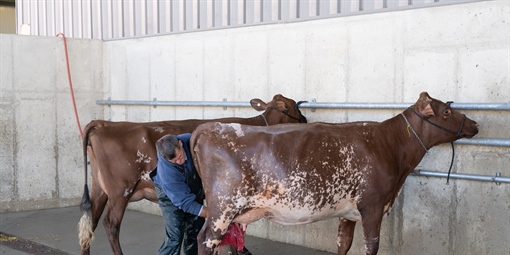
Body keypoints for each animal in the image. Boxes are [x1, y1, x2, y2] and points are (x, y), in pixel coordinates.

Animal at [76, 94, 306, 255]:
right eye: (295, 106)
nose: (305, 119)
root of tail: (104, 123)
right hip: (119, 191)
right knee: (110, 225)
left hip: (99, 189)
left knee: (90, 222)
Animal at [190, 92, 478, 255]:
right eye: (447, 111)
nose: (475, 124)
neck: (389, 145)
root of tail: (210, 127)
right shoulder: (372, 207)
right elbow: (371, 246)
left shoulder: (348, 212)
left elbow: (343, 243)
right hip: (224, 208)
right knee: (206, 240)